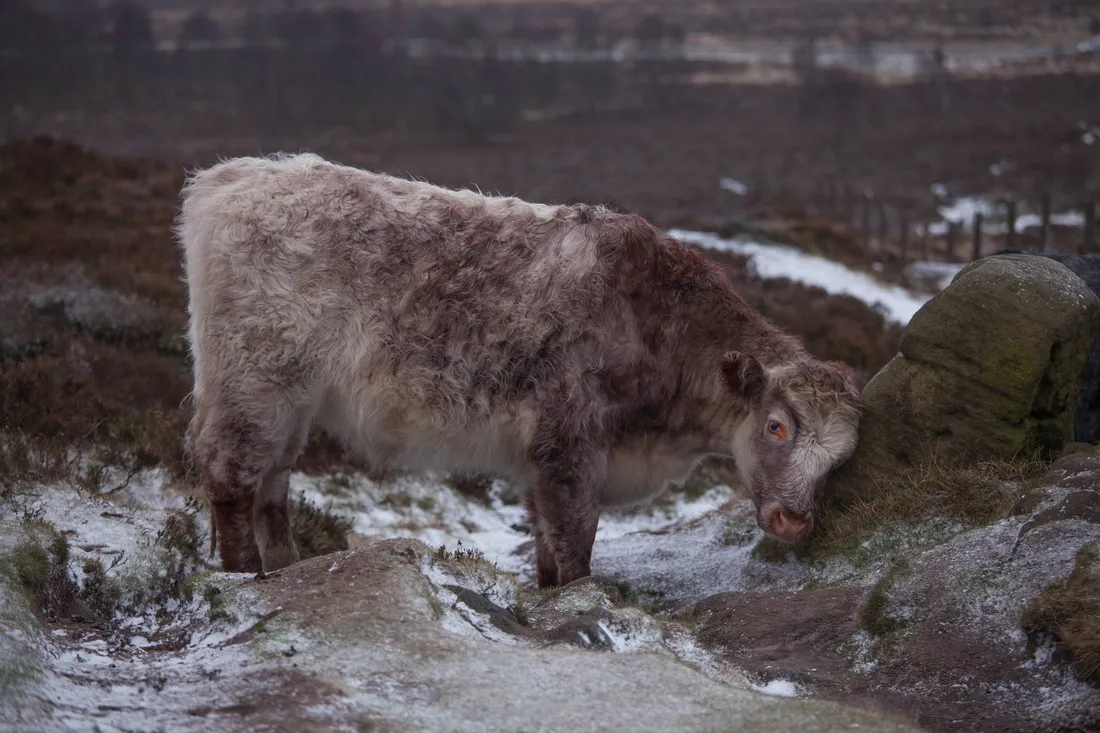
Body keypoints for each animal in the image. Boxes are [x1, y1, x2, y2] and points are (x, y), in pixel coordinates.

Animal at [177, 153, 862, 588]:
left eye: (842, 457)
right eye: (776, 426)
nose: (794, 520)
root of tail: (232, 177)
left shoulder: (539, 458)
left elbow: (545, 546)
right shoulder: (569, 445)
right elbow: (575, 542)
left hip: (291, 399)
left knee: (273, 479)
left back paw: (286, 564)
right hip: (253, 380)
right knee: (231, 476)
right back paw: (245, 577)